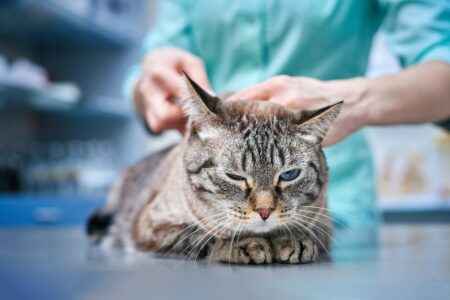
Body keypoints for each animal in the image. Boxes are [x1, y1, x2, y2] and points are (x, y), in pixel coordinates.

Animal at [87, 74, 342, 264]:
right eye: (234, 176)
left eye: (289, 175)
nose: (265, 212)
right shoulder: (152, 227)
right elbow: (202, 237)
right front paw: (245, 245)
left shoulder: (323, 222)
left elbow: (304, 231)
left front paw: (292, 241)